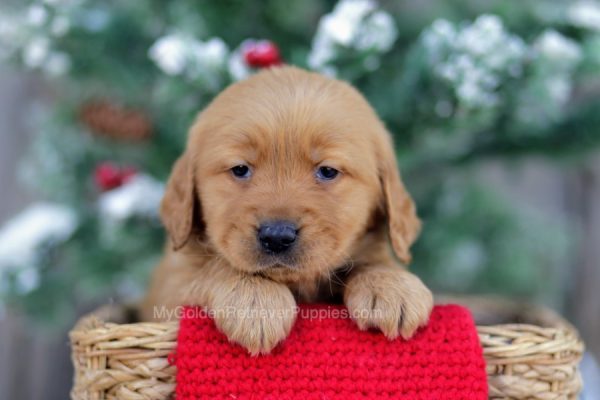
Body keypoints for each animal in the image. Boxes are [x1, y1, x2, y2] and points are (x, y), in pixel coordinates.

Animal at [142, 66, 432, 356]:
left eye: (328, 171)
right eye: (240, 169)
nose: (277, 236)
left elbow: (374, 259)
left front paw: (392, 286)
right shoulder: (170, 290)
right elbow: (213, 267)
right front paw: (256, 302)